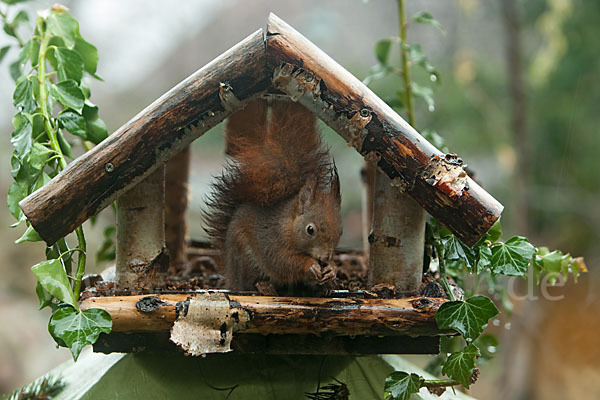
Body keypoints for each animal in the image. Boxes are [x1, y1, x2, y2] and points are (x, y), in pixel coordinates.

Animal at [205, 97, 342, 290]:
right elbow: (282, 262)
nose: (325, 257)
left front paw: (332, 268)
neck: (288, 225)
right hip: (244, 255)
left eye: (341, 231)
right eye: (310, 230)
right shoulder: (271, 240)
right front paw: (311, 265)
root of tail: (231, 277)